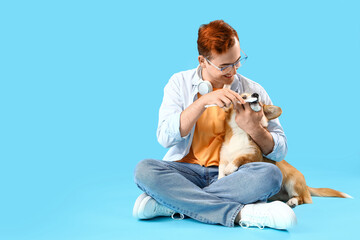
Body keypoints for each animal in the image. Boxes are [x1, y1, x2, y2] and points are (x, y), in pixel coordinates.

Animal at [217, 93, 352, 207]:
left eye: (260, 102)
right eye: (244, 96)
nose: (256, 94)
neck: (239, 131)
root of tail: (306, 186)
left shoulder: (254, 156)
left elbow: (240, 158)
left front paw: (231, 167)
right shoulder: (223, 158)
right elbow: (221, 170)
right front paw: (220, 179)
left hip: (292, 182)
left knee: (303, 199)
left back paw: (293, 201)